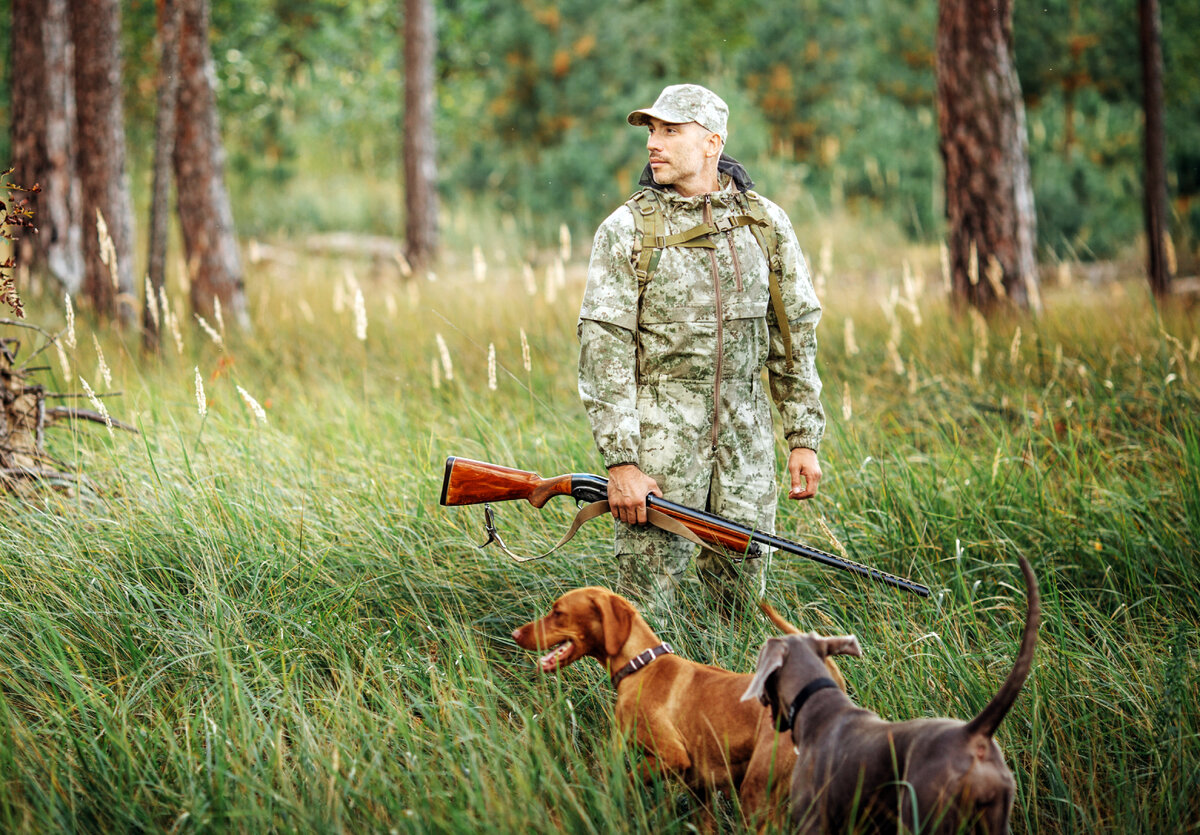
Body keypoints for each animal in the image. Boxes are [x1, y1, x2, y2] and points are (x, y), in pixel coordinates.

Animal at [511, 583, 849, 825]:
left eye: (557, 612)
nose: (515, 633)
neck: (639, 665)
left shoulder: (672, 756)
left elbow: (624, 780)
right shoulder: (699, 790)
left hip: (755, 794)